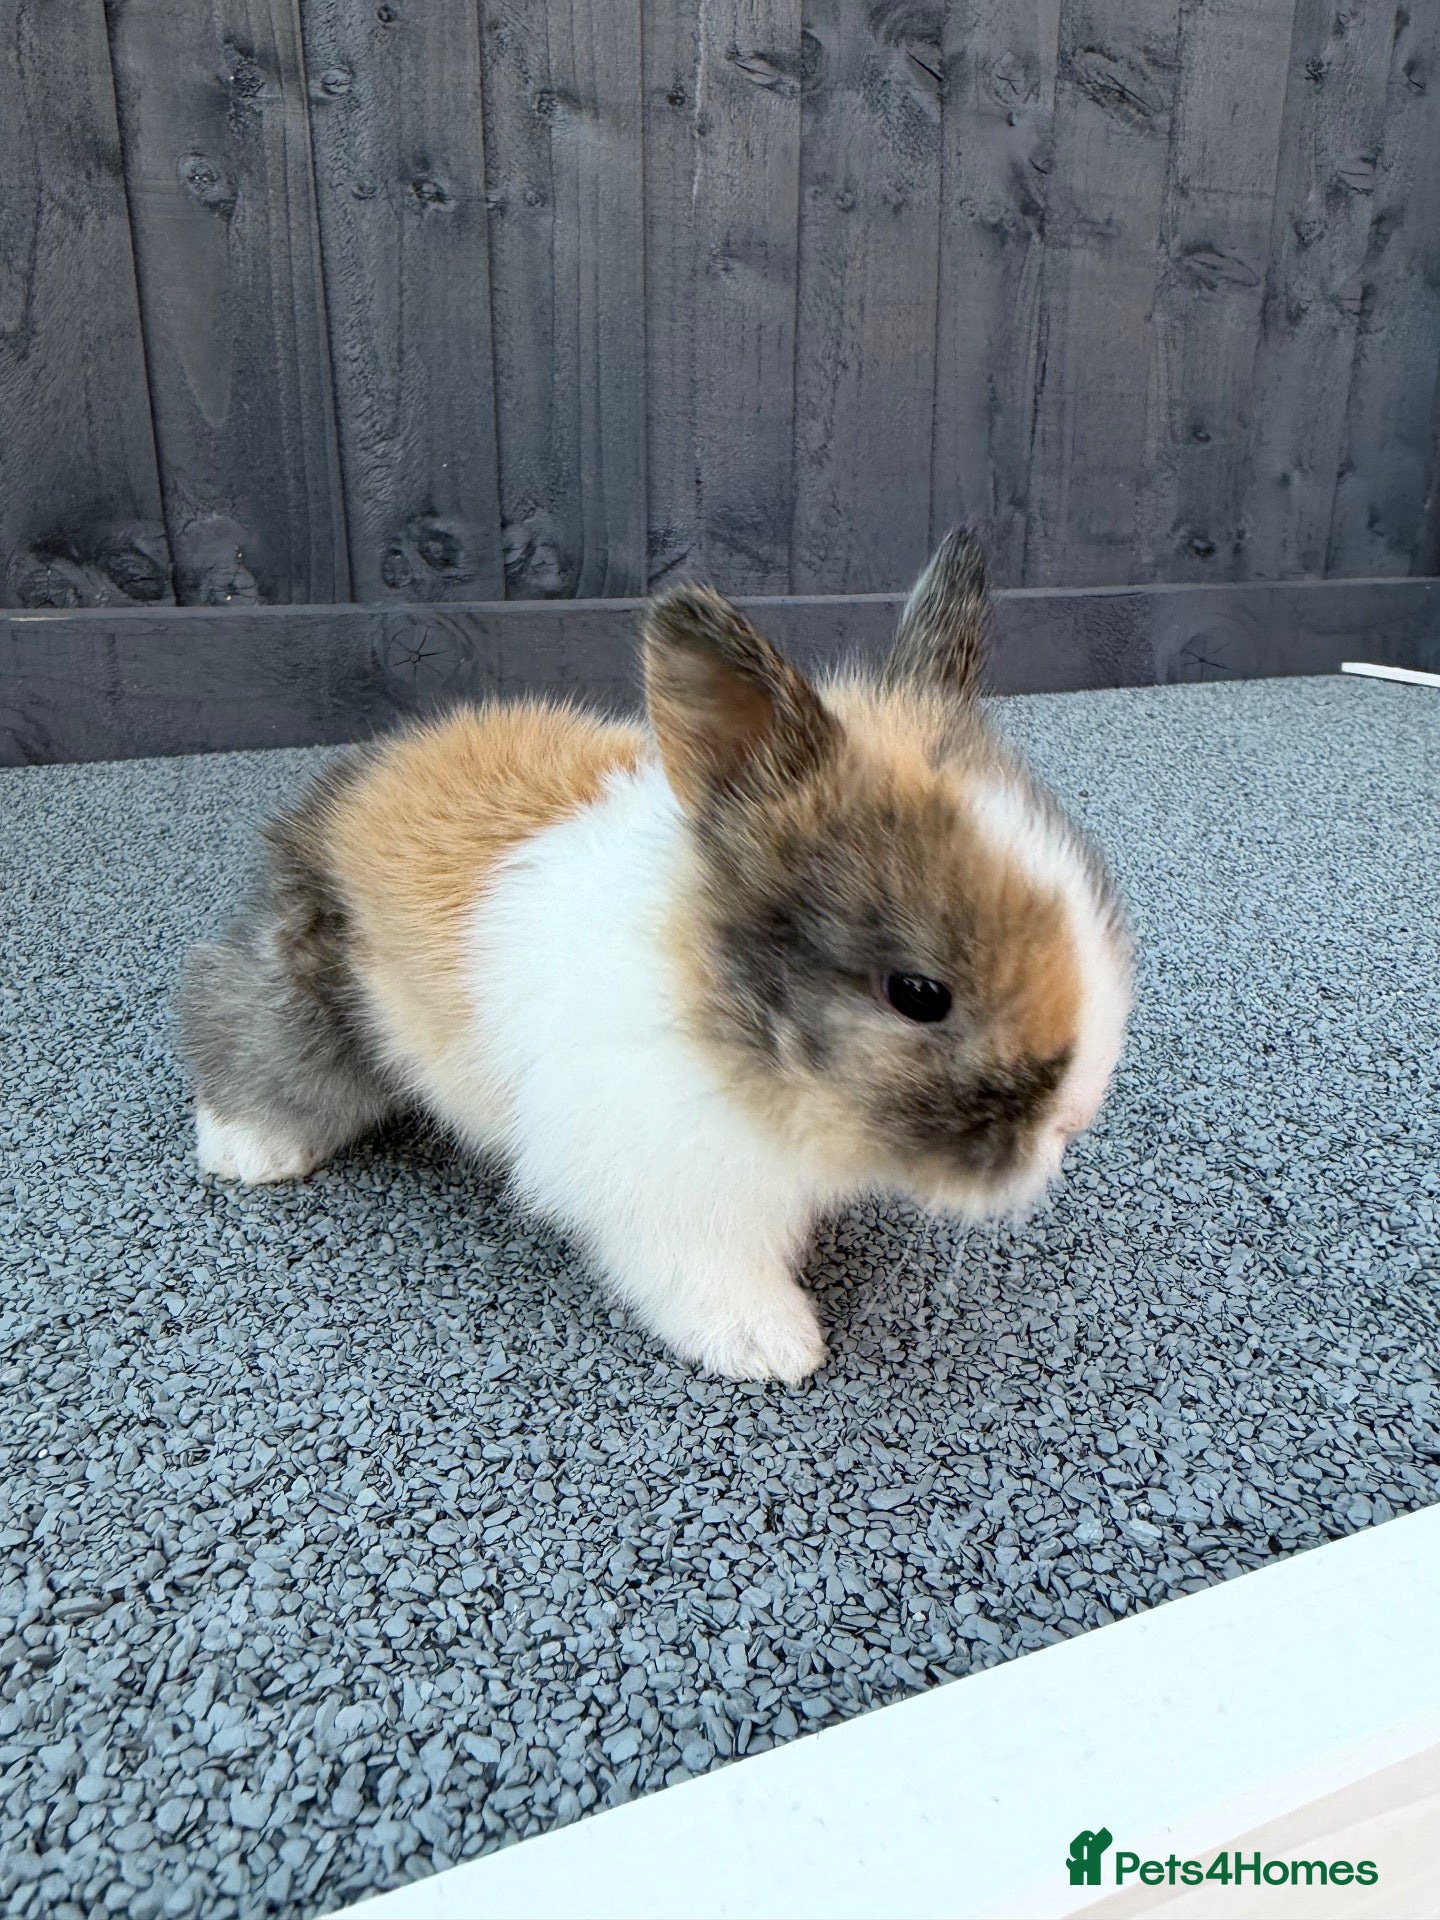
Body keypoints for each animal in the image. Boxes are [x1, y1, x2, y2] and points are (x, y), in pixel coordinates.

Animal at [177, 528, 1132, 1384]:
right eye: (919, 993)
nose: (1076, 1117)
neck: (711, 1002)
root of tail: (373, 769)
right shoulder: (664, 1188)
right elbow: (705, 1272)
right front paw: (771, 1347)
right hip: (315, 976)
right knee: (240, 1017)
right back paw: (247, 1149)